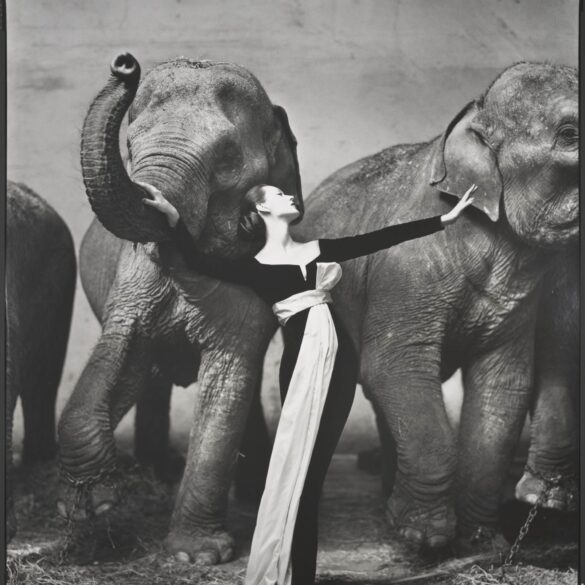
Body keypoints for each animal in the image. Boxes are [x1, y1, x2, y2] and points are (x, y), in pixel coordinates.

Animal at [56, 53, 301, 563]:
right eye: (129, 146)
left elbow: (230, 379)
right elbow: (120, 350)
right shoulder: (132, 279)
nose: (125, 64)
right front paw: (93, 506)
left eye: (227, 157)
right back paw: (158, 473)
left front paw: (195, 556)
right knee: (150, 378)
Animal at [287, 61, 578, 550]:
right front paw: (423, 538)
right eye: (571, 133)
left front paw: (482, 542)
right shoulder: (405, 269)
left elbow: (503, 386)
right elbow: (395, 365)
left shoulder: (521, 294)